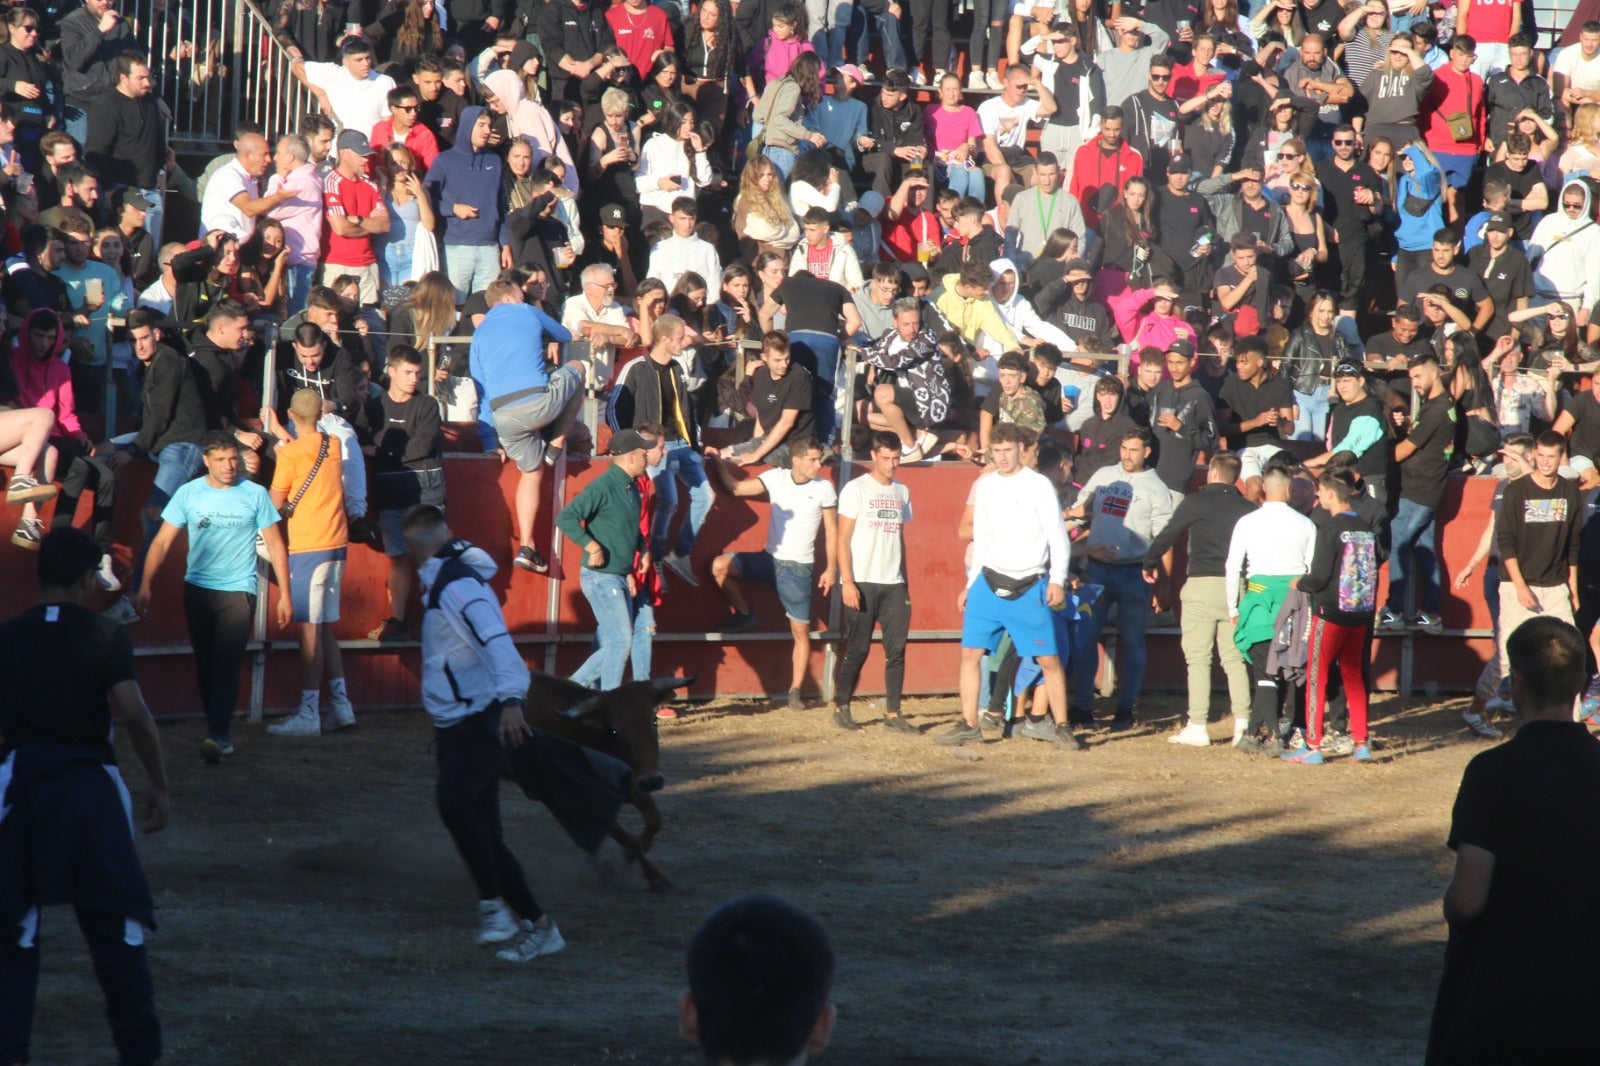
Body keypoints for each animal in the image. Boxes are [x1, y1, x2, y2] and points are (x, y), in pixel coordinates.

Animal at [496, 672, 691, 889]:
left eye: (654, 721)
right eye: (615, 730)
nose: (652, 782)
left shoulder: (630, 783)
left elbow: (655, 819)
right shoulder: (573, 798)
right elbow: (620, 834)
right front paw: (643, 866)